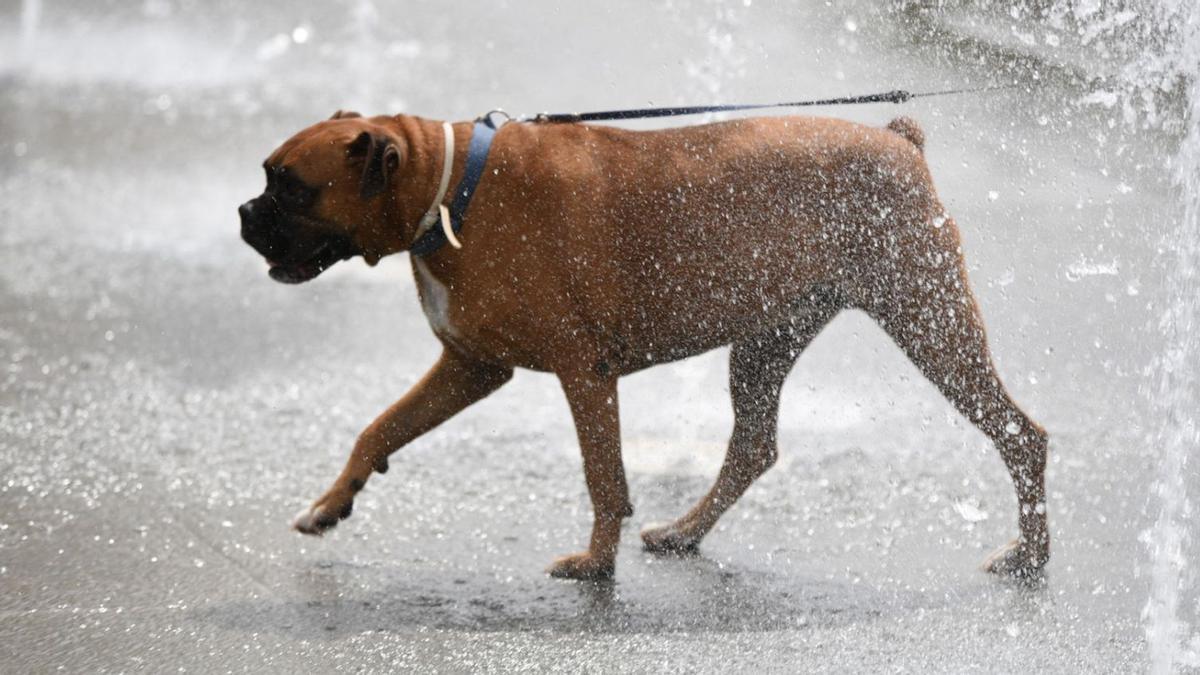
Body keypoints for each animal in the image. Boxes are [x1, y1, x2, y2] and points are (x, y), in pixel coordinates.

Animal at [238, 109, 1046, 578]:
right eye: (267, 178)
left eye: (289, 185)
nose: (244, 213)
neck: (451, 185)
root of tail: (897, 138)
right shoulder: (471, 367)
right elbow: (379, 428)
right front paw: (329, 503)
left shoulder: (583, 373)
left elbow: (604, 476)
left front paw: (598, 563)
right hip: (766, 343)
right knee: (753, 446)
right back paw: (685, 532)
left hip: (931, 325)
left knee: (1020, 433)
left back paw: (1031, 554)